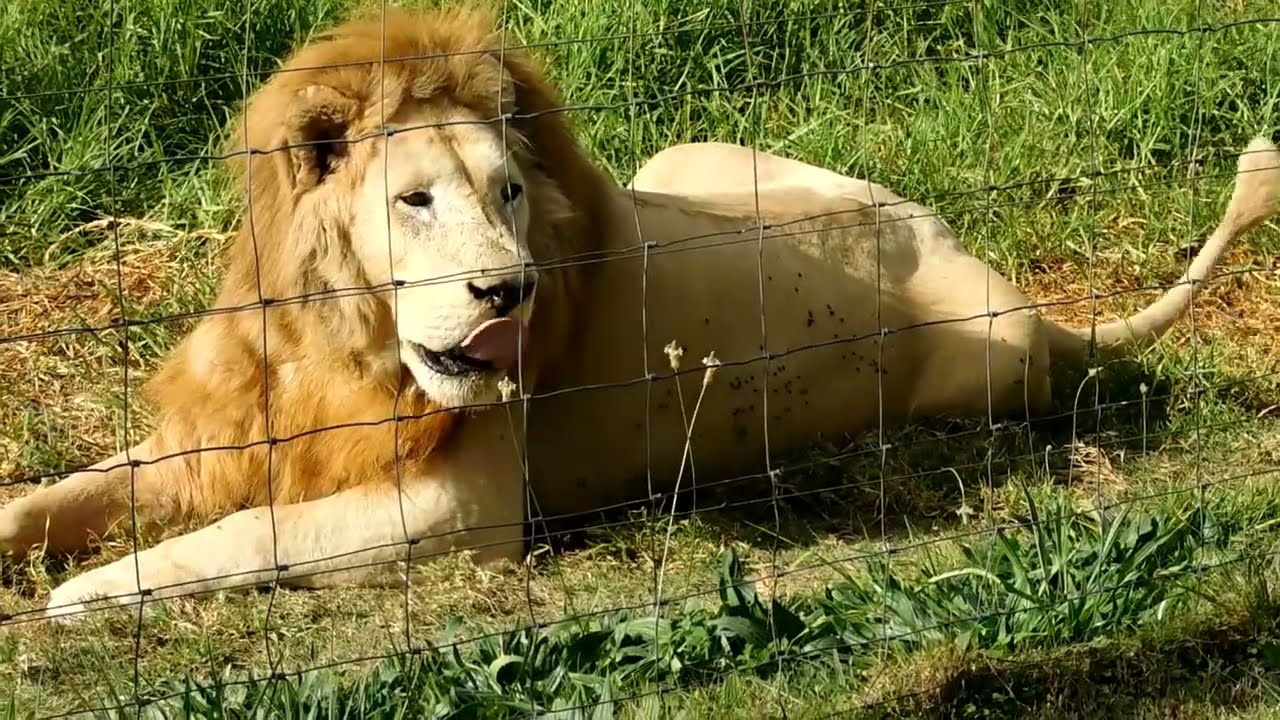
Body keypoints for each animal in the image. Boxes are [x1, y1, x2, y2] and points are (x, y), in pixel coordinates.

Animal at [2, 6, 1277, 622]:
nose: (506, 292)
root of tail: (996, 274)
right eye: (414, 199)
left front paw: (81, 597)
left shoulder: (458, 509)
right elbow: (52, 499)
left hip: (984, 377)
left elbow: (239, 539)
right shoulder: (230, 431)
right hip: (692, 159)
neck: (342, 338)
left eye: (510, 193)